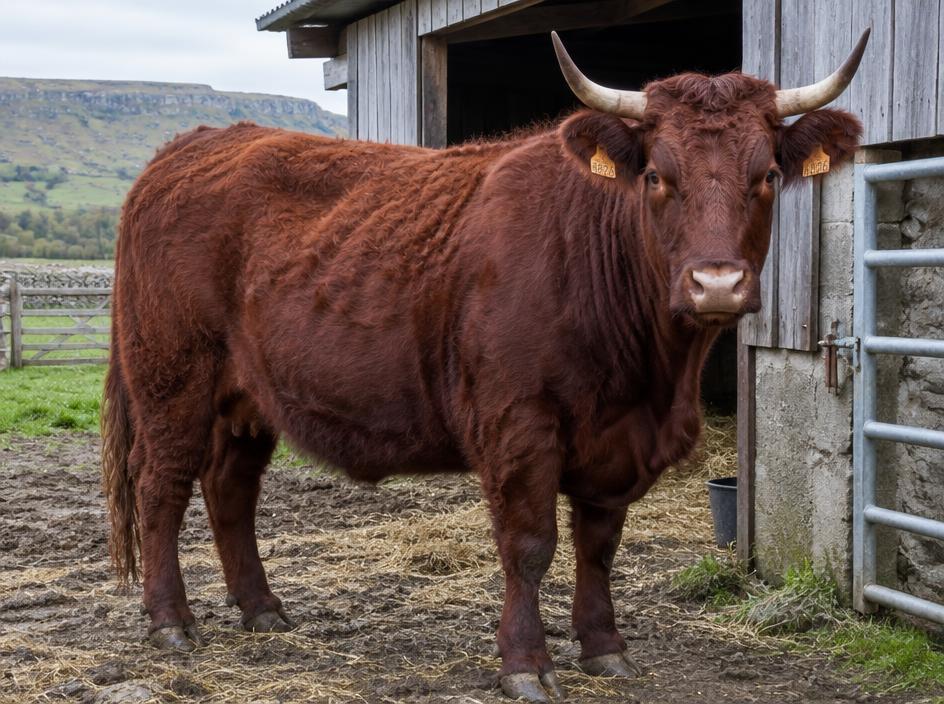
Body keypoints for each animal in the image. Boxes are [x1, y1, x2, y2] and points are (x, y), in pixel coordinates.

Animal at [102, 30, 868, 702]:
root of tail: (193, 145)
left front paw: (604, 648)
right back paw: (172, 623)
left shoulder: (617, 443)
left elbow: (599, 546)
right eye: (656, 174)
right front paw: (525, 665)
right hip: (172, 379)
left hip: (247, 398)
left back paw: (262, 608)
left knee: (230, 489)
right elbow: (530, 545)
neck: (651, 378)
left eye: (767, 175)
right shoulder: (518, 424)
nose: (716, 284)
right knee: (162, 487)